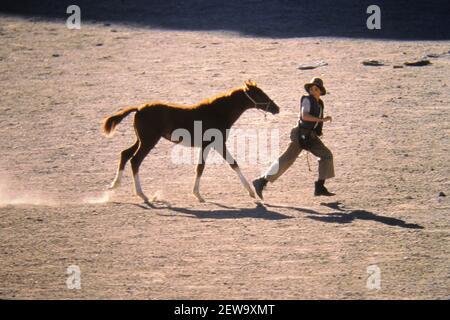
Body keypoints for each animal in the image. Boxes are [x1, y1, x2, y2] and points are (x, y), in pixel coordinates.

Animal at [103, 80, 278, 201]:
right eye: (260, 94)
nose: (277, 108)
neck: (217, 112)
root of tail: (139, 108)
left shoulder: (213, 144)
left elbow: (222, 164)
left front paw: (250, 191)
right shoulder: (214, 143)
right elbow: (209, 166)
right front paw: (198, 195)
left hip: (141, 140)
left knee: (125, 154)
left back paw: (114, 185)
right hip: (148, 141)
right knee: (135, 161)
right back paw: (142, 195)